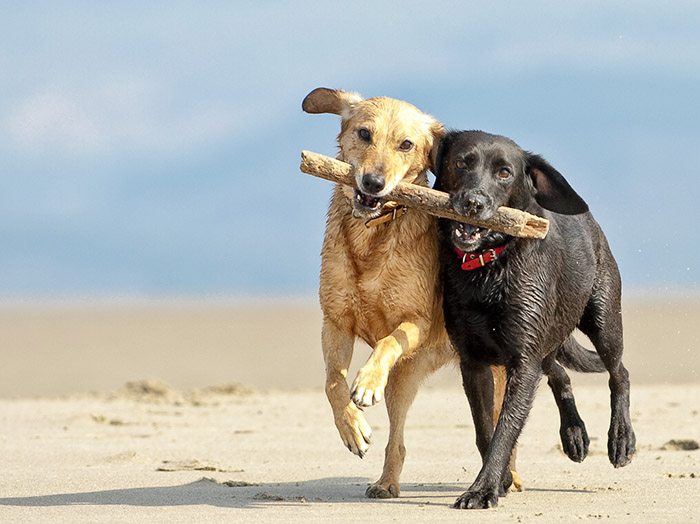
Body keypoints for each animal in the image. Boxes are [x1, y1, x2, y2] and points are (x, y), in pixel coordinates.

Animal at [300, 88, 600, 498]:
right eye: (363, 133)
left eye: (406, 144)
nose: (373, 182)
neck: (373, 235)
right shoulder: (335, 323)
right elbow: (333, 382)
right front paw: (353, 428)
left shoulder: (416, 322)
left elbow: (387, 342)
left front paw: (366, 383)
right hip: (409, 377)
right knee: (399, 439)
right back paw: (387, 482)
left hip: (501, 361)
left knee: (523, 402)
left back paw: (513, 474)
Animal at [432, 130, 636, 508]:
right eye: (461, 162)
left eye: (504, 173)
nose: (473, 203)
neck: (488, 268)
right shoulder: (474, 362)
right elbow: (485, 429)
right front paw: (496, 483)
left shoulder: (523, 360)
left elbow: (506, 428)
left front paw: (482, 490)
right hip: (547, 335)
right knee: (559, 373)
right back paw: (574, 434)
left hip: (603, 318)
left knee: (619, 372)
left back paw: (621, 439)